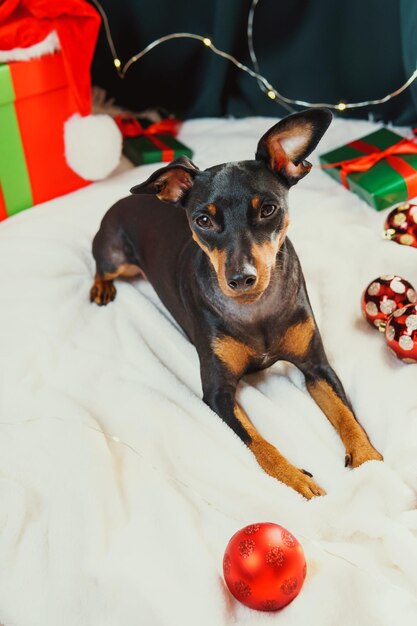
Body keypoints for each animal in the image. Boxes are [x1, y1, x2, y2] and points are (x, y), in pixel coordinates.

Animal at [89, 108, 382, 498]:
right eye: (203, 220)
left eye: (269, 209)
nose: (242, 277)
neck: (255, 309)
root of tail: (128, 198)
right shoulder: (218, 393)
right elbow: (260, 444)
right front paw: (295, 480)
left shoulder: (317, 366)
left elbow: (347, 416)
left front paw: (369, 463)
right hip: (114, 256)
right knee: (100, 266)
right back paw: (100, 288)